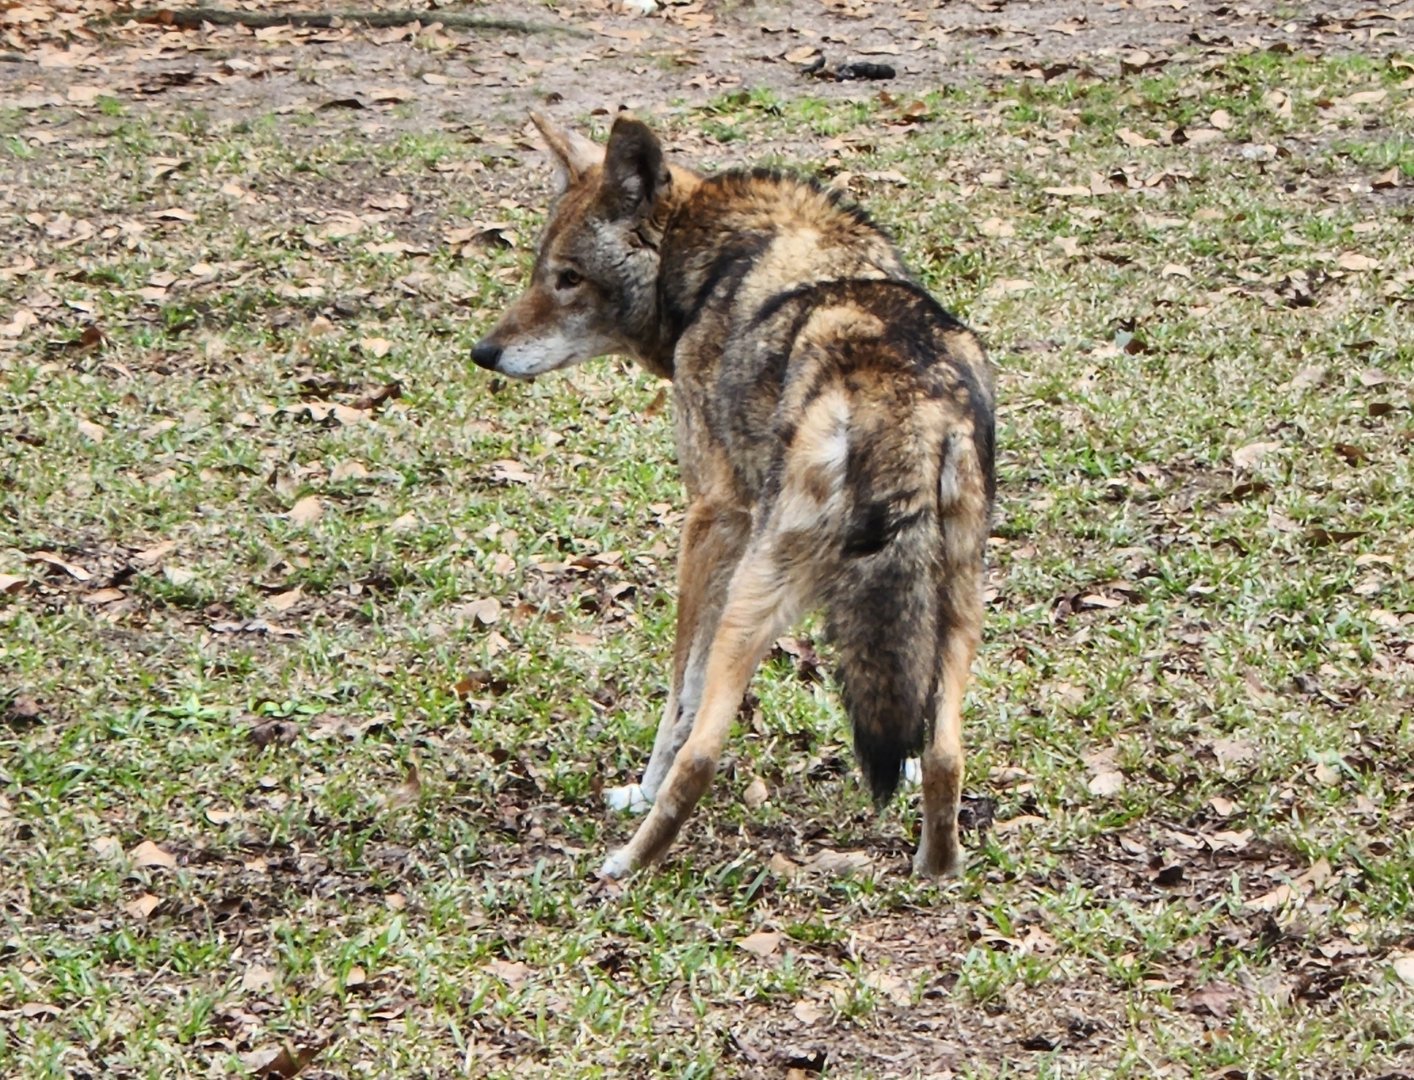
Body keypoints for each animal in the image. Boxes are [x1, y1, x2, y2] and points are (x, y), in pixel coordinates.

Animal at [472, 112, 995, 880]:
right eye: (542, 273)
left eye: (568, 278)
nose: (483, 353)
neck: (718, 264)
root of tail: (898, 405)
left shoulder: (710, 522)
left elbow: (678, 699)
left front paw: (638, 791)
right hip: (956, 607)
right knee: (945, 754)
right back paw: (935, 871)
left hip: (755, 599)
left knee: (703, 755)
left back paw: (626, 866)